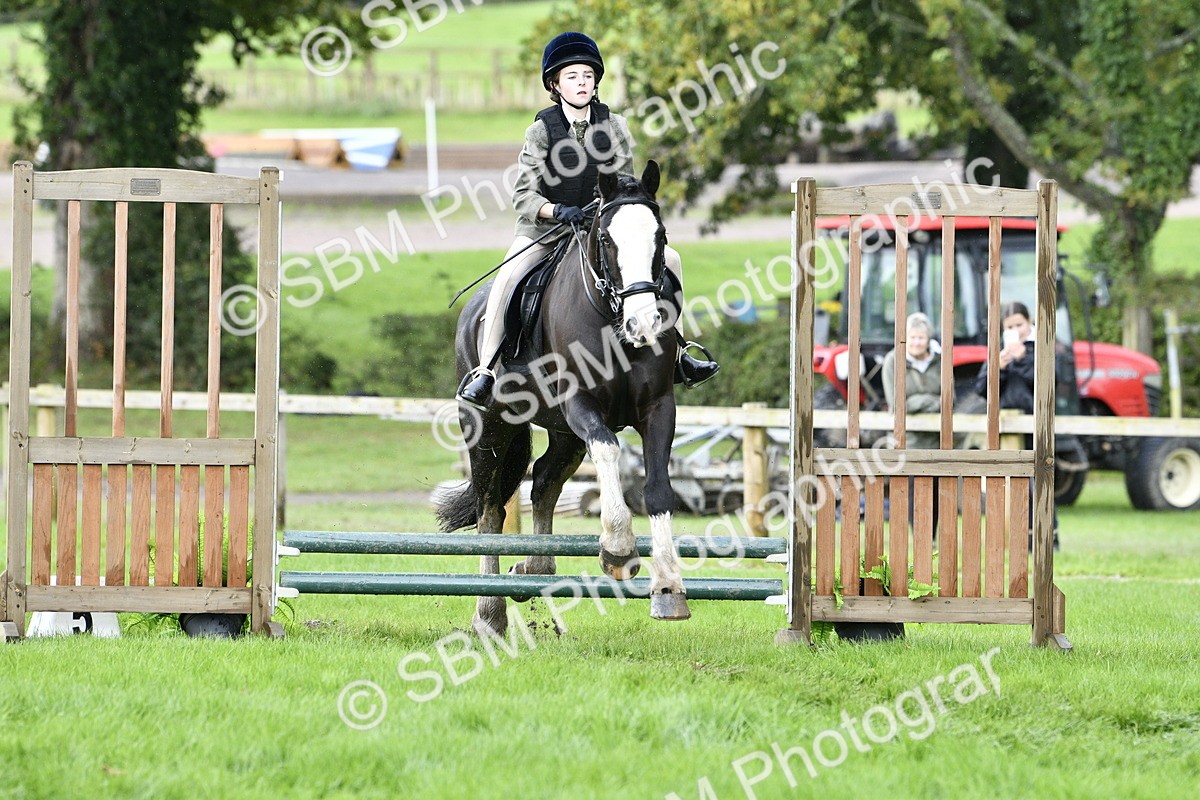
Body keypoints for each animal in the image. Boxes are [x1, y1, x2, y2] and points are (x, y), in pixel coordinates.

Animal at [437, 161, 690, 636]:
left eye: (661, 237)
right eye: (606, 239)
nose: (644, 324)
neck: (612, 322)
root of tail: (472, 310)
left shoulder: (659, 408)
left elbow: (658, 489)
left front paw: (669, 589)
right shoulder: (581, 406)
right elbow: (608, 449)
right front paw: (618, 549)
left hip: (564, 435)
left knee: (543, 484)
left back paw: (532, 568)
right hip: (488, 426)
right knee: (489, 508)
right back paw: (489, 613)